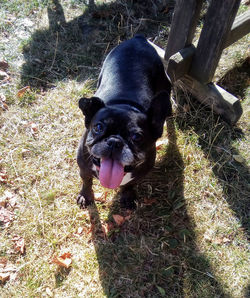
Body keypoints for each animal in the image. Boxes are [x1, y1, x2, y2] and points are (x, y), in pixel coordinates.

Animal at [77, 35, 171, 210]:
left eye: (137, 137)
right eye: (98, 127)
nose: (115, 141)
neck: (124, 104)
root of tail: (138, 38)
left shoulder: (141, 172)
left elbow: (130, 185)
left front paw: (128, 196)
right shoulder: (84, 167)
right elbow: (86, 181)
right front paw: (85, 196)